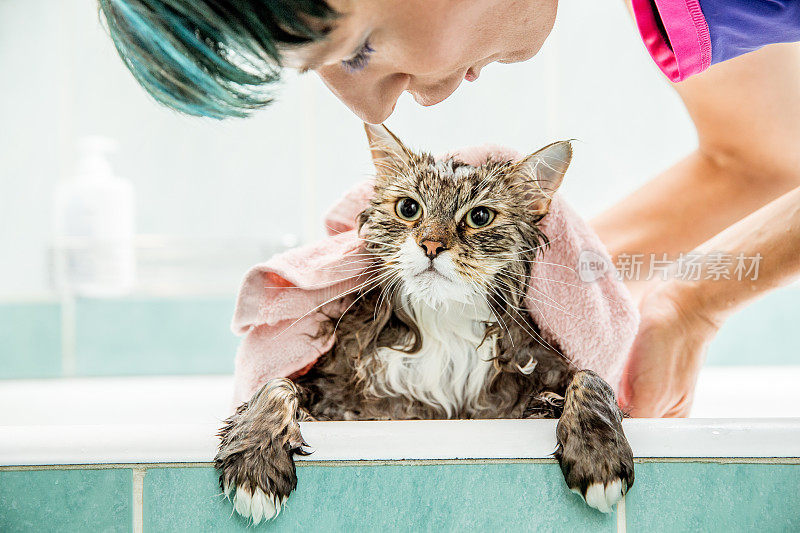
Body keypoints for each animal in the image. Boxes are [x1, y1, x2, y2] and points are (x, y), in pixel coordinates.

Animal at [216, 123, 636, 520]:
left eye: (479, 217)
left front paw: (598, 454)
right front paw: (256, 463)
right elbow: (276, 384)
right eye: (408, 208)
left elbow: (590, 378)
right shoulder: (340, 394)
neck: (442, 323)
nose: (431, 245)